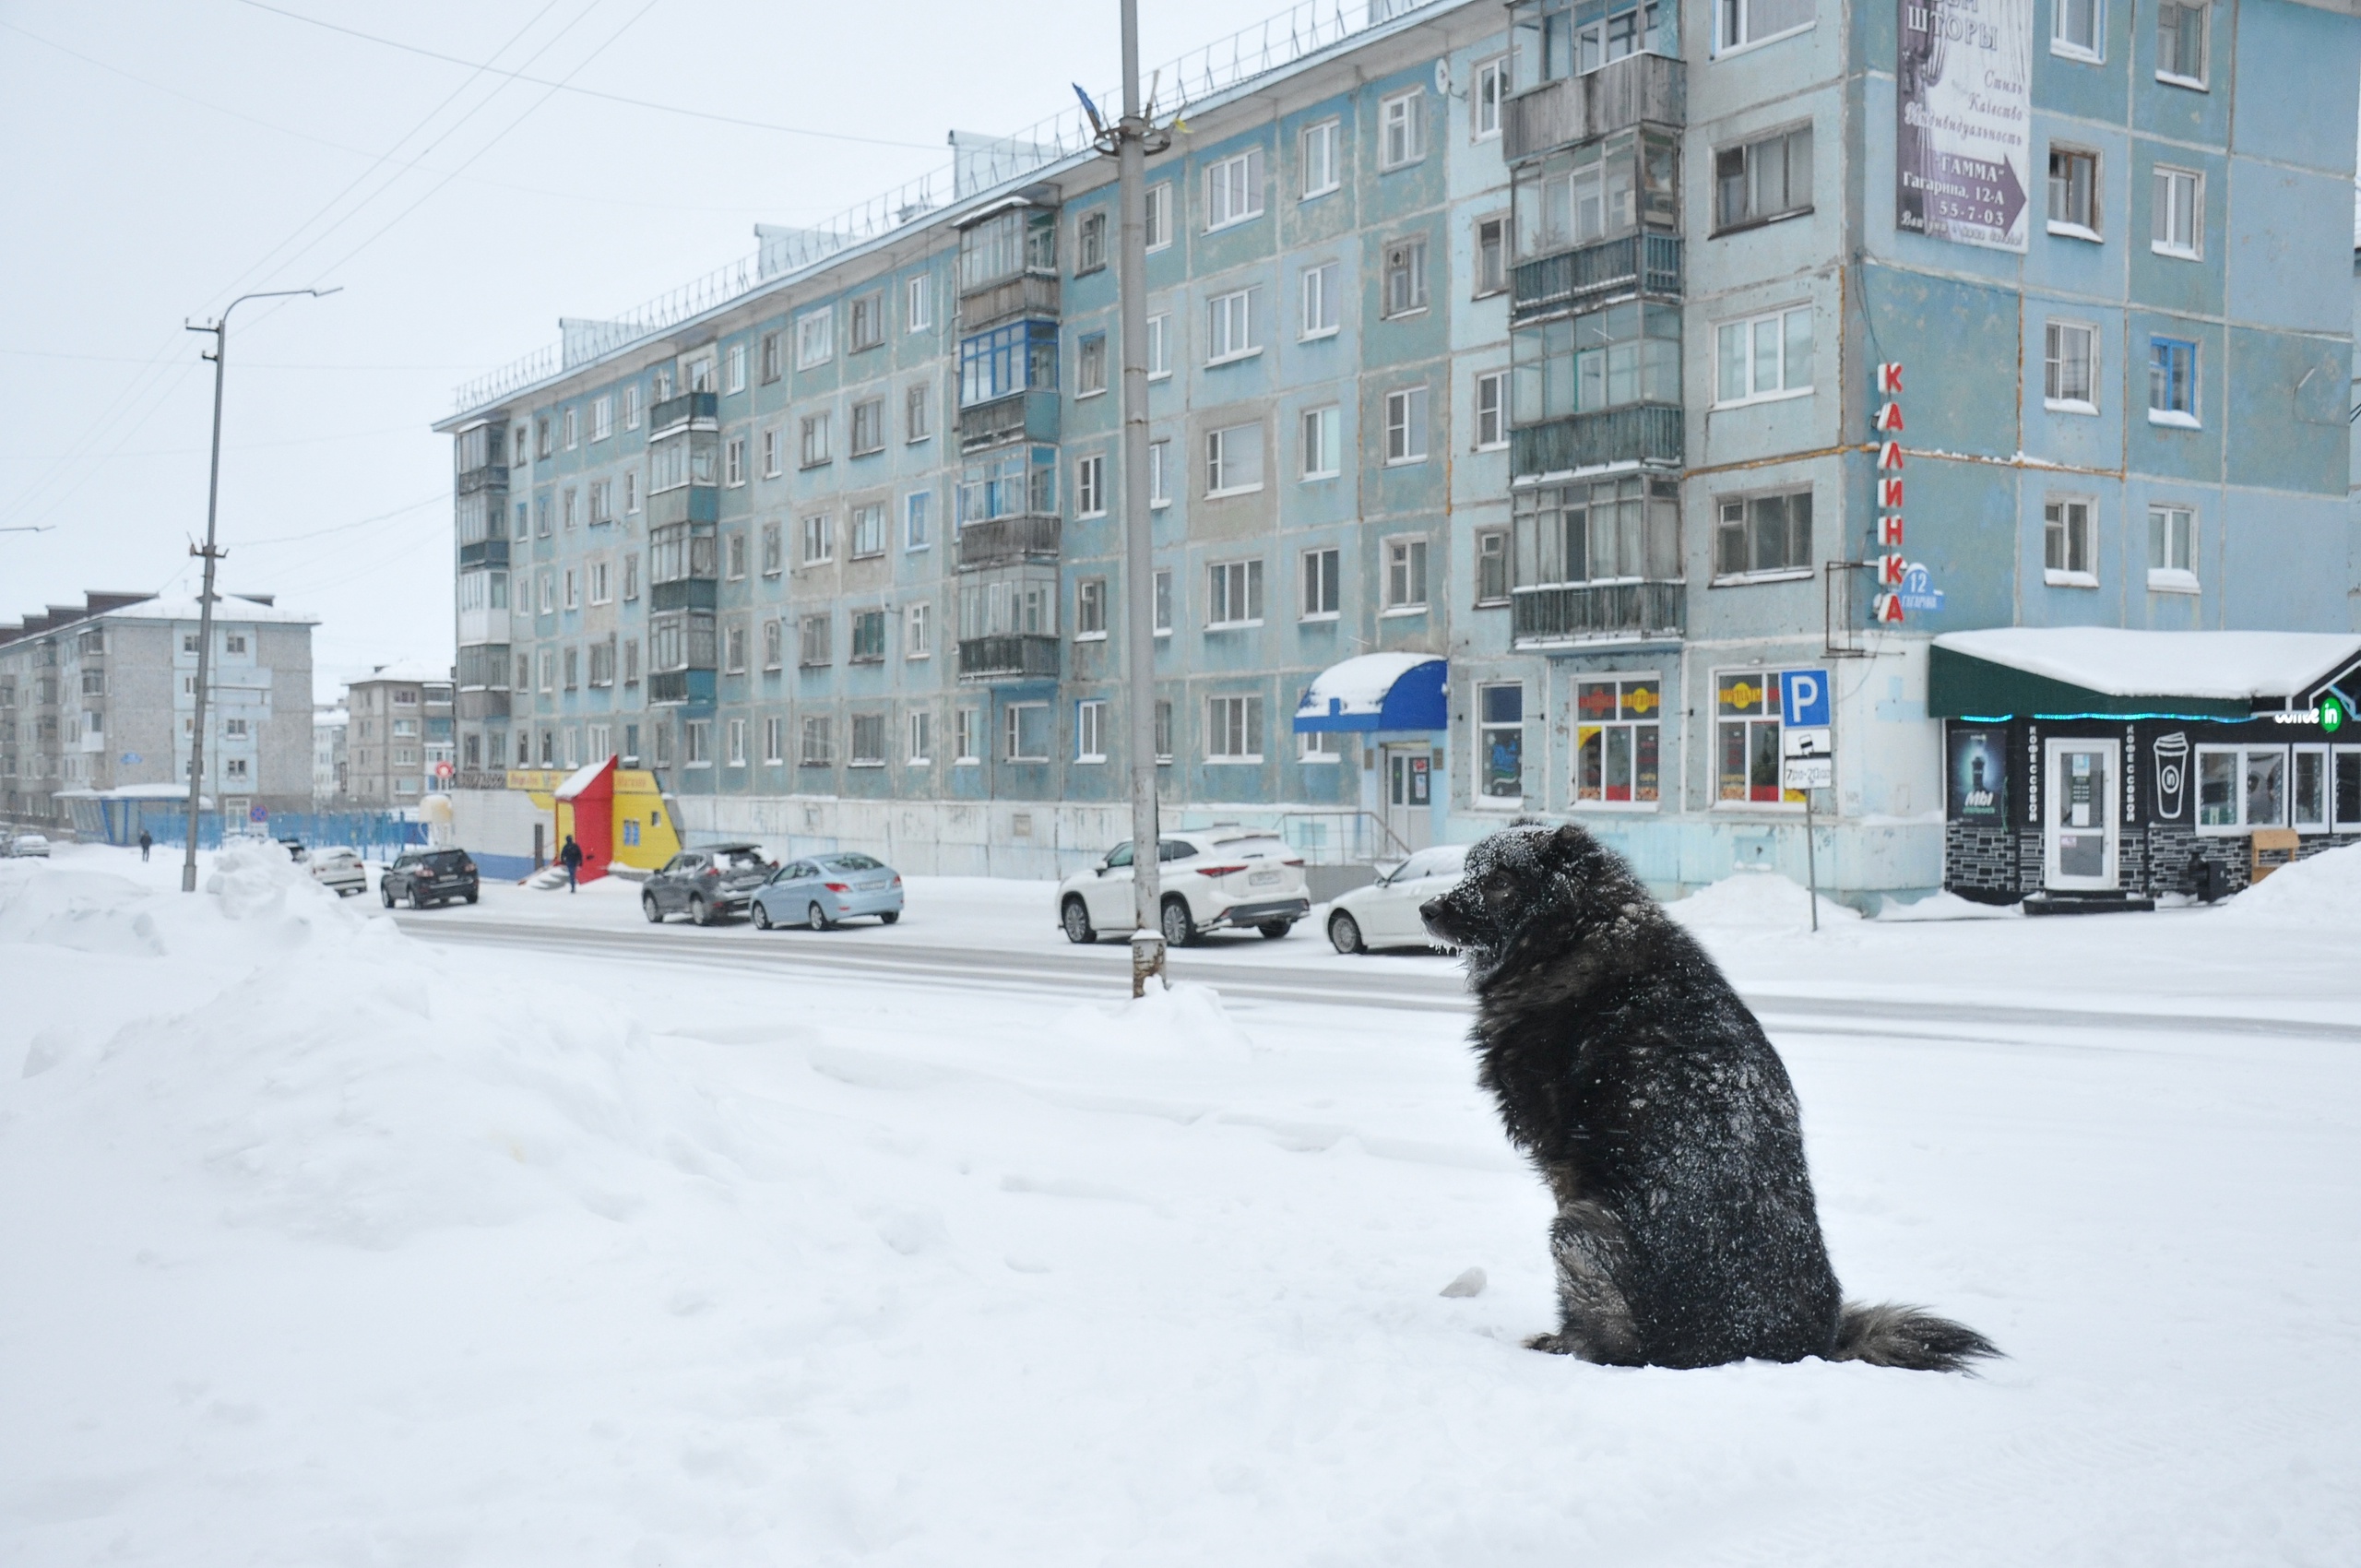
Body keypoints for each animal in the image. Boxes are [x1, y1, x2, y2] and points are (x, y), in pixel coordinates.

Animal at [1417, 821, 1992, 1369]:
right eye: (1467, 869)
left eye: (1498, 882)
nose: (1426, 908)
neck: (1575, 933)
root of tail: (1810, 1346)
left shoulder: (1566, 1165)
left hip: (1578, 1231)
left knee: (1621, 1350)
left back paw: (1564, 1345)